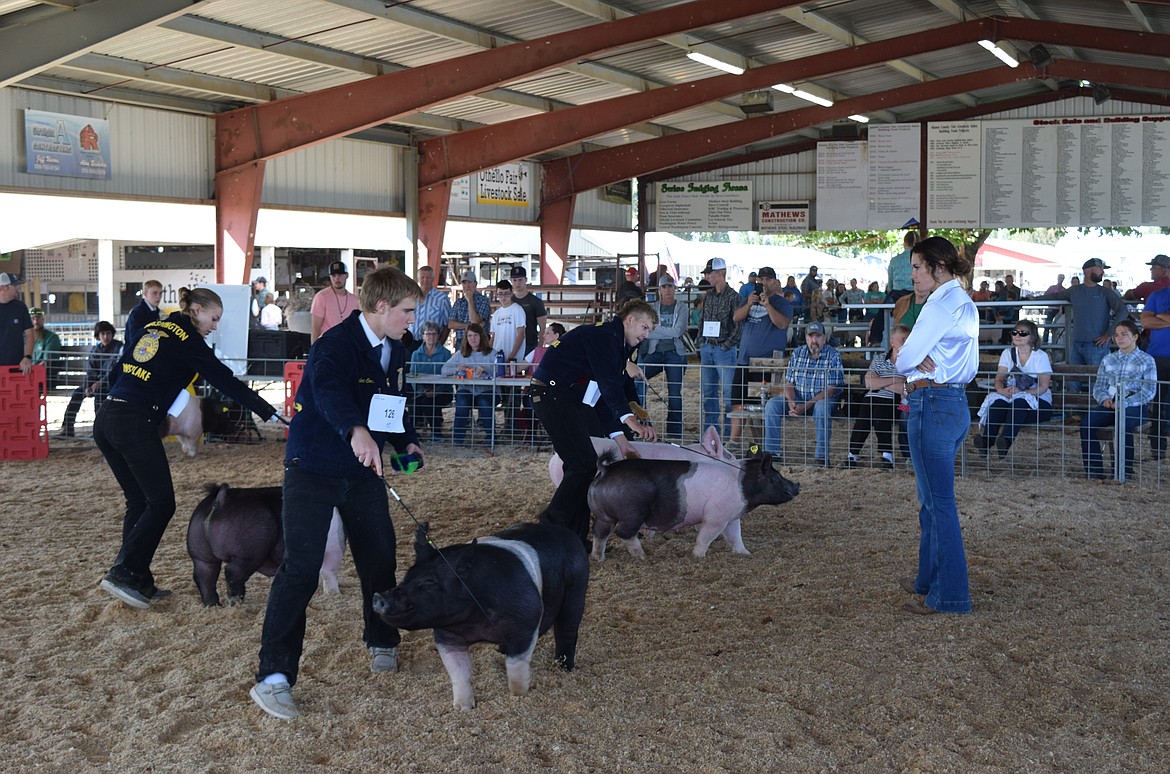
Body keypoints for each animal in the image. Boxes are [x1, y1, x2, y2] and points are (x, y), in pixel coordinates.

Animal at [184, 486, 343, 607]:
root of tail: (220, 500)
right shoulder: (334, 546)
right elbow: (329, 571)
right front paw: (335, 594)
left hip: (200, 553)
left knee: (204, 576)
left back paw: (213, 605)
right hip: (250, 551)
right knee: (232, 572)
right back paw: (236, 604)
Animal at [374, 523, 589, 710]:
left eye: (429, 581)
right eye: (406, 576)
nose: (378, 597)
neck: (474, 620)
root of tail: (567, 532)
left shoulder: (525, 624)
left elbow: (516, 666)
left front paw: (519, 694)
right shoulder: (447, 636)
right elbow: (458, 672)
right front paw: (463, 708)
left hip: (577, 586)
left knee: (567, 630)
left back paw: (564, 667)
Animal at [589, 448, 800, 563]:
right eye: (776, 478)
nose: (797, 486)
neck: (743, 483)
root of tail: (605, 470)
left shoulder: (731, 516)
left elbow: (735, 537)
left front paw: (745, 554)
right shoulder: (716, 517)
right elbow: (705, 537)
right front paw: (698, 557)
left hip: (603, 515)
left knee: (599, 533)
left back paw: (598, 558)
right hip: (632, 513)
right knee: (623, 533)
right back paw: (643, 556)